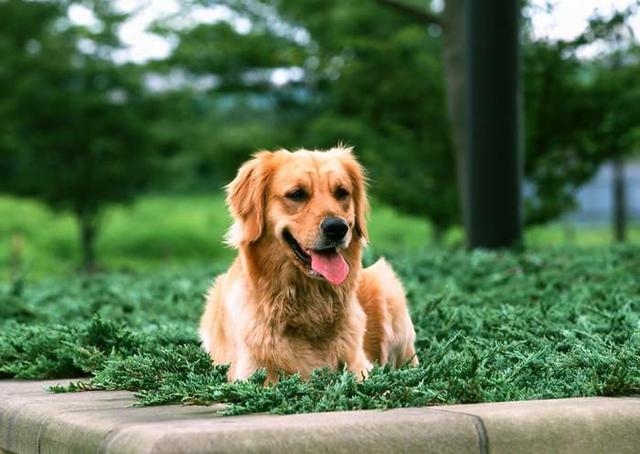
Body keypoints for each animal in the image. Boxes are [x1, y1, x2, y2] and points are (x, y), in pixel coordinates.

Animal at [201, 147, 420, 382]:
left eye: (342, 192)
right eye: (297, 194)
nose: (337, 228)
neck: (309, 305)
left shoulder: (360, 367)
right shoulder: (252, 374)